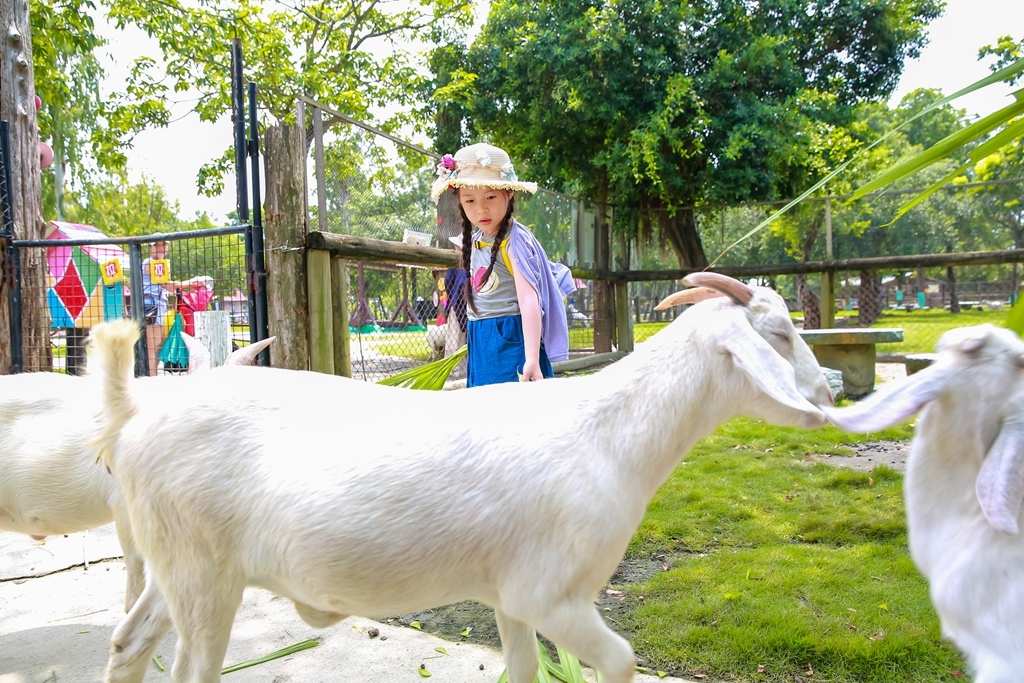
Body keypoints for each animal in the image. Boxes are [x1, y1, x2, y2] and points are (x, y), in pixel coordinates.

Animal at [92, 272, 835, 683]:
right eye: (780, 334)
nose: (828, 389)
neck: (609, 430)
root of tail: (134, 417)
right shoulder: (551, 594)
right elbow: (622, 660)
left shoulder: (510, 596)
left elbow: (526, 671)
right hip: (204, 579)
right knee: (189, 671)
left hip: (177, 567)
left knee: (127, 643)